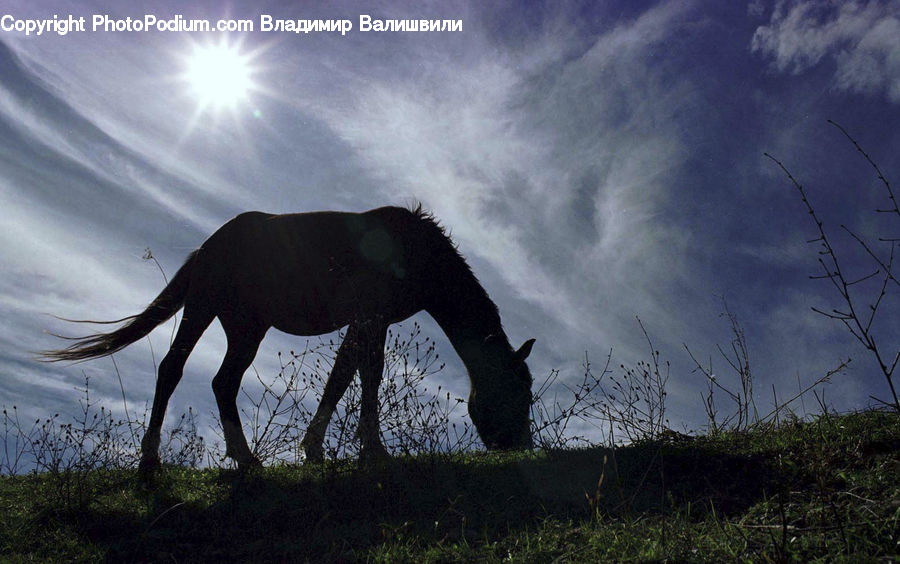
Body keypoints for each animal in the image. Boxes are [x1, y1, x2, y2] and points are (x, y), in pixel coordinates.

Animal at [43, 205, 535, 475]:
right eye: (519, 391)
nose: (521, 448)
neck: (418, 252)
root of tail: (207, 247)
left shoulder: (367, 322)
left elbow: (343, 377)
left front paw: (316, 449)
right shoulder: (370, 317)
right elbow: (366, 376)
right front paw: (373, 450)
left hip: (246, 328)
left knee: (223, 382)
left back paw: (245, 460)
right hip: (203, 308)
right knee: (172, 370)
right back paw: (151, 461)